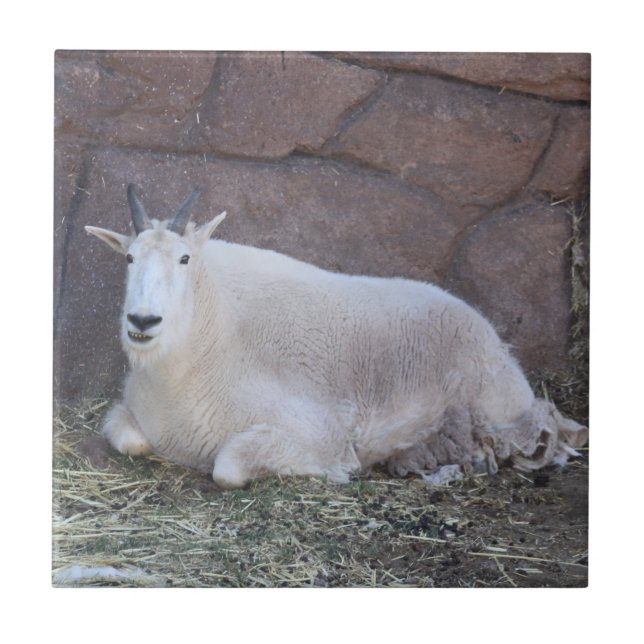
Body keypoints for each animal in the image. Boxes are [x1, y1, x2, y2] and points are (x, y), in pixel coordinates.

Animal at [85, 184, 588, 488]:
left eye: (185, 259)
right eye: (129, 258)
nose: (143, 321)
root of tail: (491, 335)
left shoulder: (312, 431)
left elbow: (228, 466)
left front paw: (341, 471)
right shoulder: (132, 415)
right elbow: (130, 439)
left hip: (499, 404)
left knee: (544, 430)